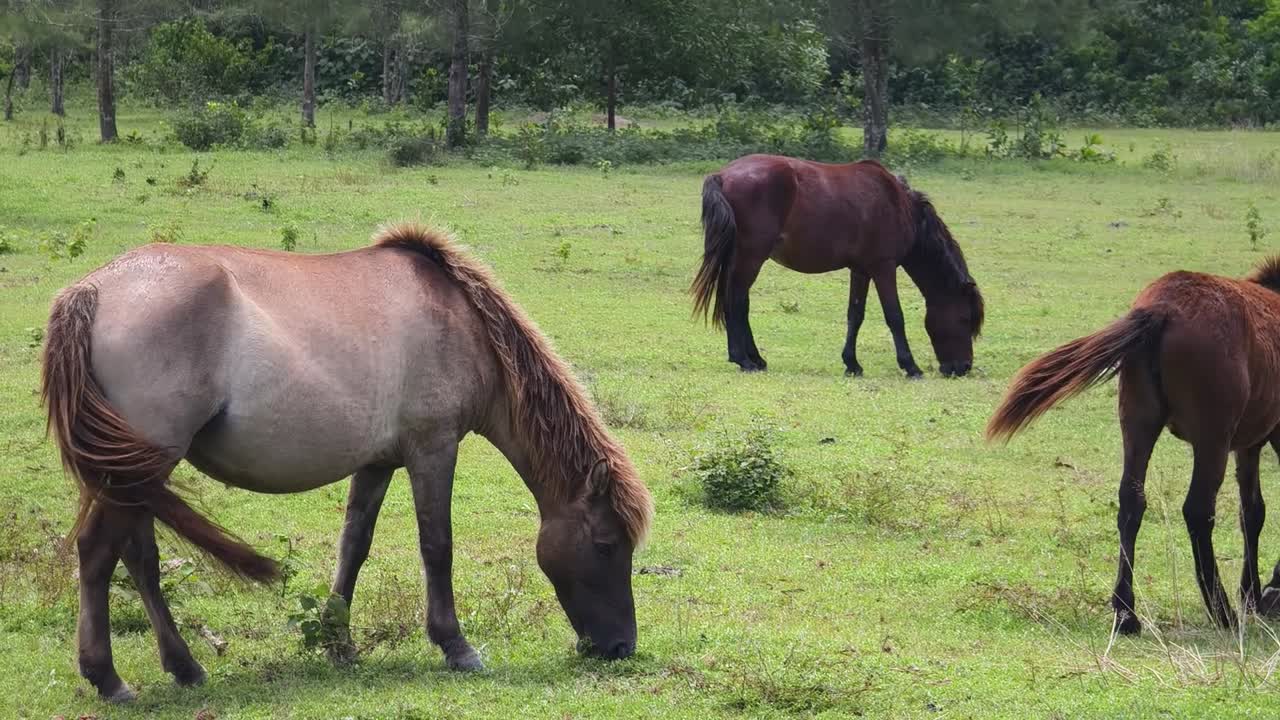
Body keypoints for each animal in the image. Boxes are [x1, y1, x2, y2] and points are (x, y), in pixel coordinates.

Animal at [41, 224, 654, 702]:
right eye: (606, 545)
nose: (621, 646)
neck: (461, 322)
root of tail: (92, 290)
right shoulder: (433, 449)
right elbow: (437, 546)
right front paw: (455, 646)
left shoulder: (378, 462)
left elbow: (353, 545)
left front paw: (338, 643)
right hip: (140, 467)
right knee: (98, 553)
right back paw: (108, 678)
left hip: (136, 471)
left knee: (139, 559)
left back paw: (185, 667)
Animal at [690, 155, 984, 377]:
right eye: (964, 318)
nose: (962, 367)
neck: (898, 204)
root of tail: (722, 175)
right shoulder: (884, 268)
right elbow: (894, 316)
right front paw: (910, 366)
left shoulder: (861, 270)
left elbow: (855, 315)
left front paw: (852, 364)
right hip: (750, 257)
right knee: (736, 301)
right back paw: (744, 359)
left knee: (737, 302)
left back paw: (754, 358)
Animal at [987, 256, 1280, 635]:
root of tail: (1162, 308)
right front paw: (1263, 592)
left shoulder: (1249, 444)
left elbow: (1252, 512)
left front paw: (1253, 594)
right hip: (1210, 438)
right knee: (1197, 510)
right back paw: (1221, 611)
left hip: (1138, 423)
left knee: (1131, 501)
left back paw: (1126, 612)